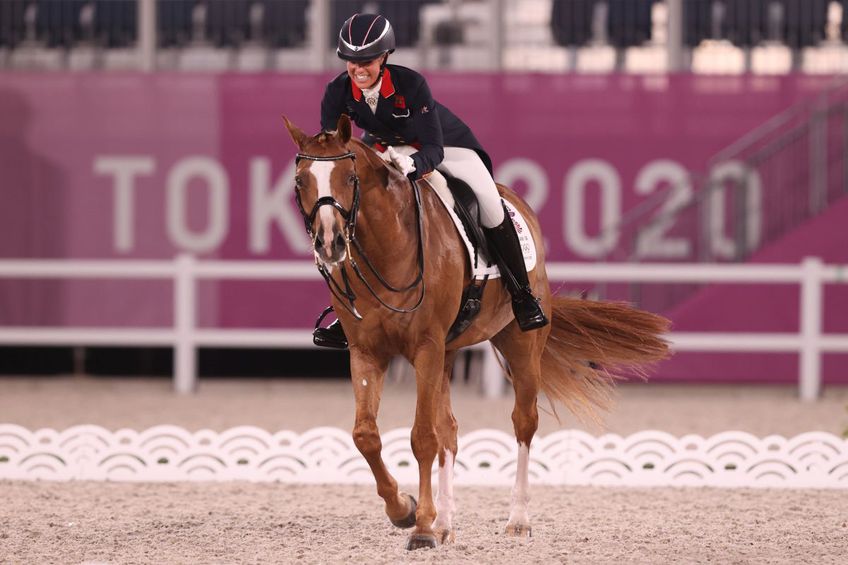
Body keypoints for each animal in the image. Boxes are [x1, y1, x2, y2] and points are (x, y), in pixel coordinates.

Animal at [284, 115, 668, 552]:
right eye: (300, 181)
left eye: (350, 178)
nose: (329, 243)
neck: (386, 245)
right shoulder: (367, 352)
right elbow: (367, 435)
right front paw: (405, 510)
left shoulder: (426, 348)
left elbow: (422, 438)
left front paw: (420, 528)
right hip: (448, 354)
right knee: (449, 430)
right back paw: (446, 524)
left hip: (518, 344)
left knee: (523, 422)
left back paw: (516, 520)